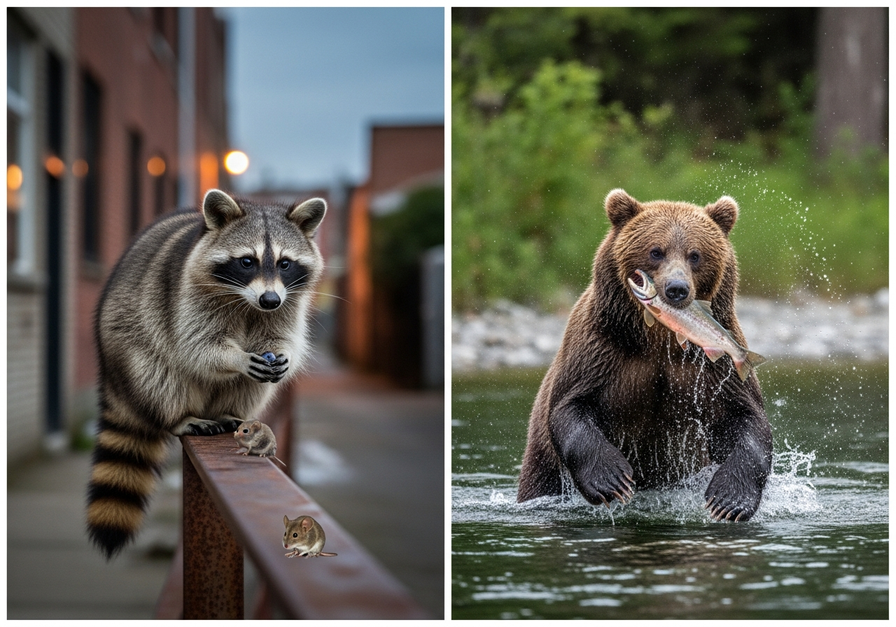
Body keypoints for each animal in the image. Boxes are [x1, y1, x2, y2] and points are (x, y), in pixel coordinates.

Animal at [86, 189, 326, 559]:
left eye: (285, 263)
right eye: (247, 261)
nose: (269, 299)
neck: (248, 303)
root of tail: (113, 380)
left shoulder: (287, 304)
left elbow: (282, 337)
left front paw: (282, 352)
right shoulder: (189, 297)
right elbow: (197, 346)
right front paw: (235, 358)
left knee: (252, 387)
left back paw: (229, 412)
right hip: (127, 341)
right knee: (160, 373)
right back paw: (179, 416)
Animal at [517, 188, 772, 522]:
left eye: (695, 254)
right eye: (656, 251)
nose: (676, 288)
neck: (658, 340)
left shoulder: (714, 366)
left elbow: (745, 417)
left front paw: (729, 500)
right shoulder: (601, 348)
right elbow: (569, 407)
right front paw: (613, 480)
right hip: (542, 467)